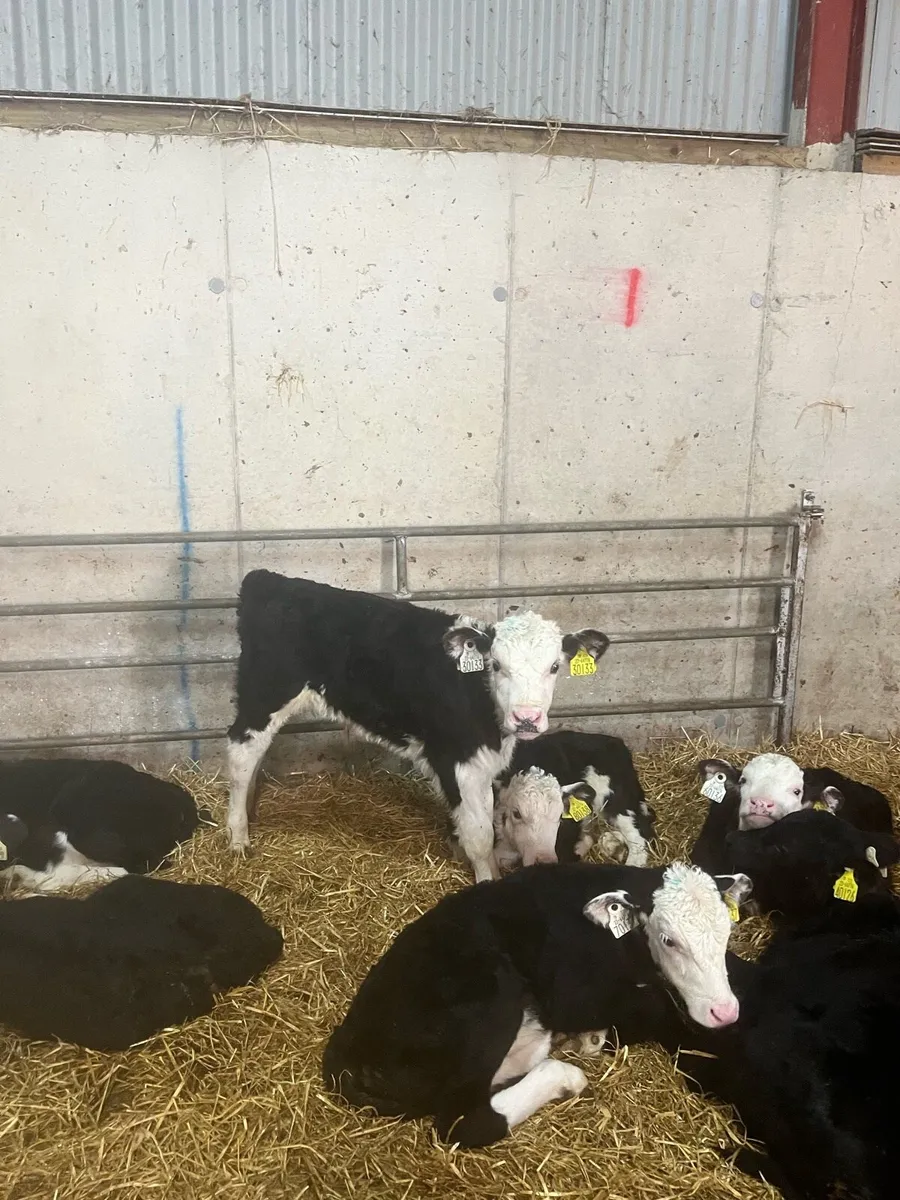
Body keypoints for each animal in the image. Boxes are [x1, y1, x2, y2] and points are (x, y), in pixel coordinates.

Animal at [226, 571, 609, 881]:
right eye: (496, 664)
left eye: (555, 667)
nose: (526, 718)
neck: (476, 693)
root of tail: (268, 580)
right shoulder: (457, 761)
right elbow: (479, 835)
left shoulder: (484, 764)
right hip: (265, 693)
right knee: (241, 755)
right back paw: (238, 837)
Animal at [322, 860, 750, 1146]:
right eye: (669, 940)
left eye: (727, 932)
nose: (726, 1011)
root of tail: (344, 1049)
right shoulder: (572, 995)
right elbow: (658, 1006)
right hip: (491, 998)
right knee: (464, 1120)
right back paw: (563, 1075)